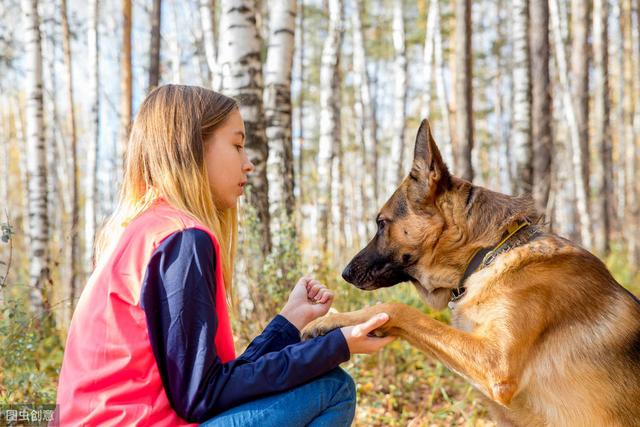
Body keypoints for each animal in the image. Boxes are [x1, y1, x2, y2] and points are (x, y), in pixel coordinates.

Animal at [302, 119, 640, 427]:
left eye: (381, 223)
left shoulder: (494, 363)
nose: (345, 273)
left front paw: (327, 320)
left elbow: (398, 309)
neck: (489, 254)